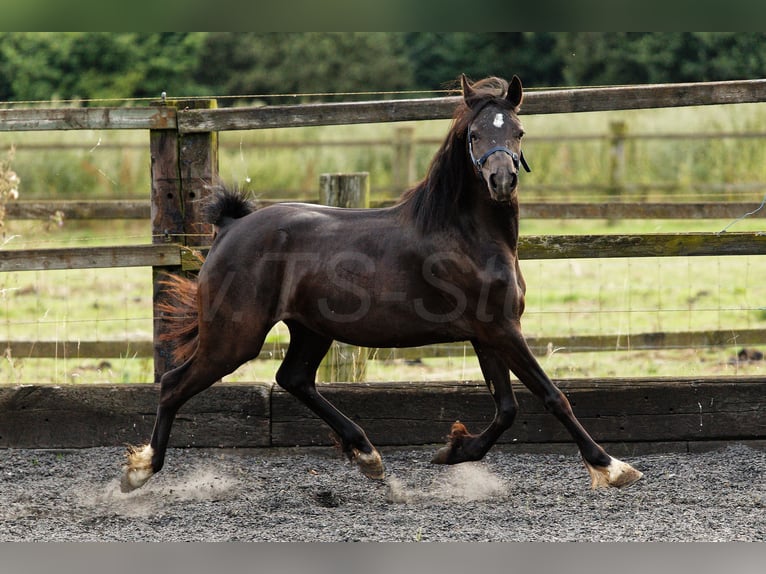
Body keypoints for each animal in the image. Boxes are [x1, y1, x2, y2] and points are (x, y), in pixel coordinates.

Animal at [123, 74, 644, 492]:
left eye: (518, 131)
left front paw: (453, 450)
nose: (501, 181)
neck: (467, 234)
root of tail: (230, 227)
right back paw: (139, 472)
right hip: (235, 336)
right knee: (173, 383)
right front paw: (611, 466)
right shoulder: (500, 329)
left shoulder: (486, 333)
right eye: (475, 134)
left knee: (293, 379)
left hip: (310, 329)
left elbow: (507, 408)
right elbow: (552, 396)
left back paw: (368, 456)